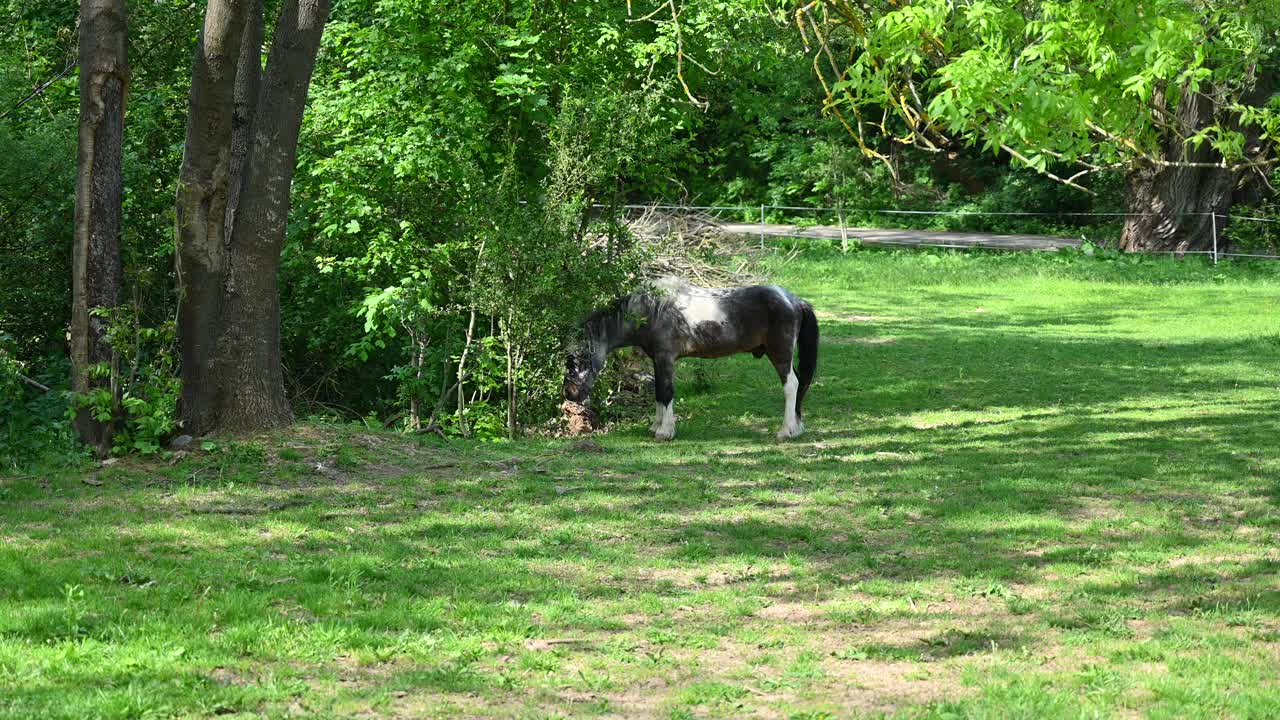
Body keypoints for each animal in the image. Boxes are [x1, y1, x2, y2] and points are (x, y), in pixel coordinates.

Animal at [563, 274, 819, 440]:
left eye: (580, 357)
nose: (570, 393)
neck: (651, 311)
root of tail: (793, 300)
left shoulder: (665, 358)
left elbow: (666, 392)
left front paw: (665, 432)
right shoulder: (657, 361)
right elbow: (659, 392)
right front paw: (655, 427)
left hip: (780, 354)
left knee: (791, 385)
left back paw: (785, 431)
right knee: (799, 385)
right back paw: (796, 428)